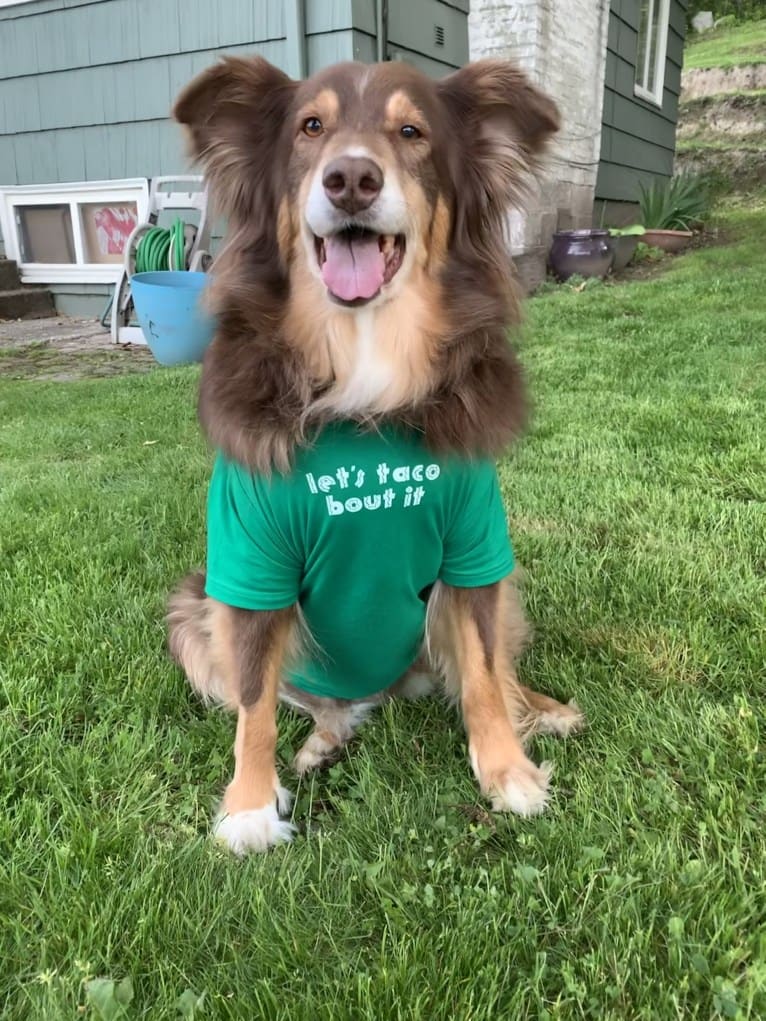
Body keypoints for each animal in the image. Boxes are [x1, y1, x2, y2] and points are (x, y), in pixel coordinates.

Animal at [167, 53, 584, 853]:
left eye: (412, 132)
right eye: (310, 127)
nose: (351, 178)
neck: (364, 363)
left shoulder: (475, 549)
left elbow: (484, 672)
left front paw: (507, 769)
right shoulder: (250, 567)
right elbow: (254, 700)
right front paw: (249, 806)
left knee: (489, 670)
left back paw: (541, 708)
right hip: (193, 609)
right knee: (314, 700)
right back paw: (323, 739)